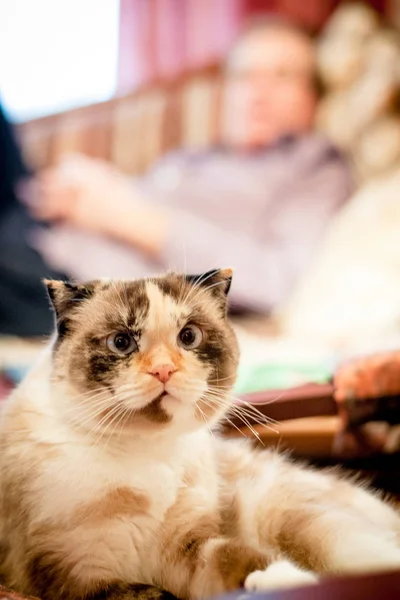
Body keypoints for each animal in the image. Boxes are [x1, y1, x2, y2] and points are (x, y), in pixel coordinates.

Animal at [0, 268, 398, 600]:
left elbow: (239, 559)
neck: (147, 451)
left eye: (188, 337)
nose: (163, 370)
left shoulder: (187, 550)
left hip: (326, 534)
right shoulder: (76, 572)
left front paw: (288, 584)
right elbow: (154, 596)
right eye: (122, 343)